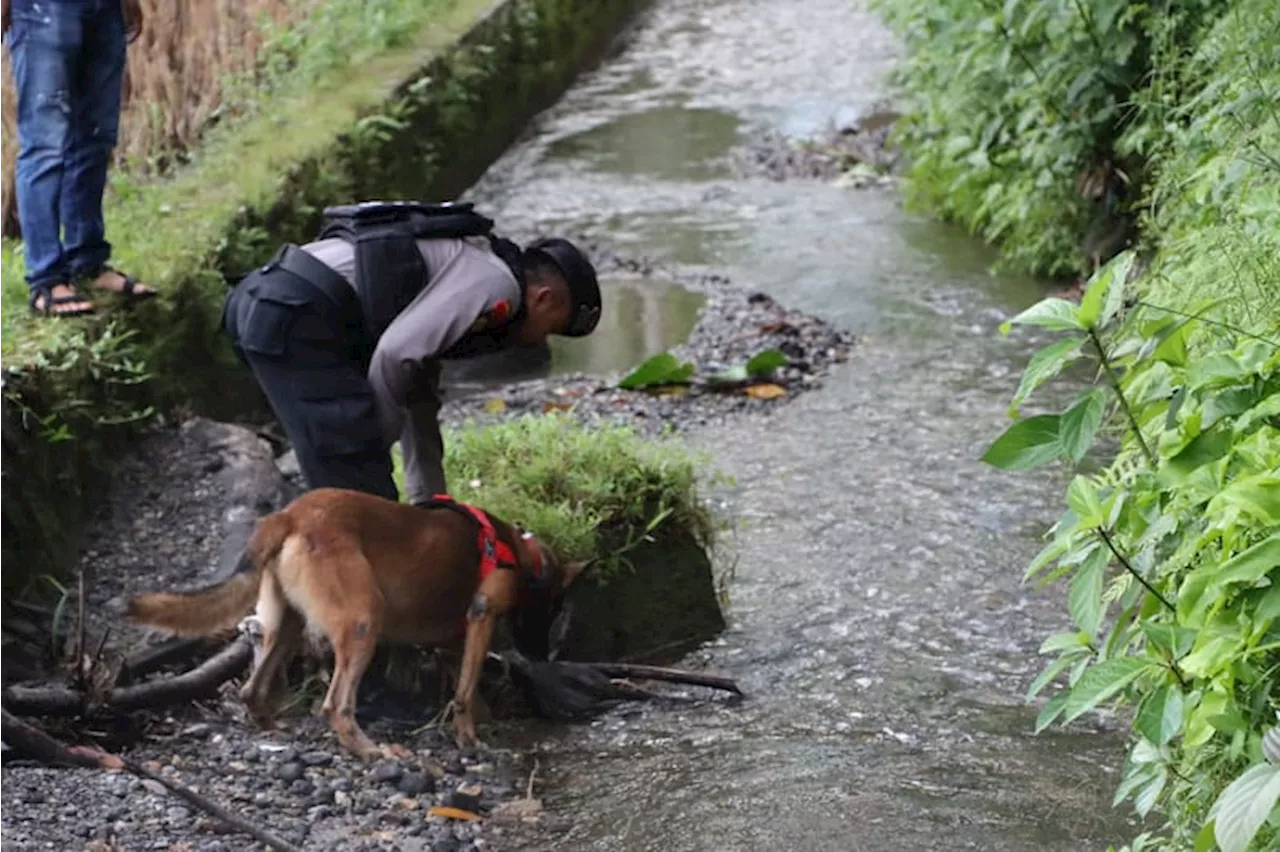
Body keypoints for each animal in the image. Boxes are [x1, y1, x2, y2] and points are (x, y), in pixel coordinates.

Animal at [124, 483, 586, 757]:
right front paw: (469, 737)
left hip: (285, 624)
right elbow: (464, 692)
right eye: (553, 609)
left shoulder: (460, 637)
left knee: (252, 689)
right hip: (363, 622)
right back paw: (369, 751)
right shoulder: (483, 611)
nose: (540, 655)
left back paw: (274, 729)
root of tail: (288, 516)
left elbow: (465, 685)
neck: (520, 554)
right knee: (337, 705)